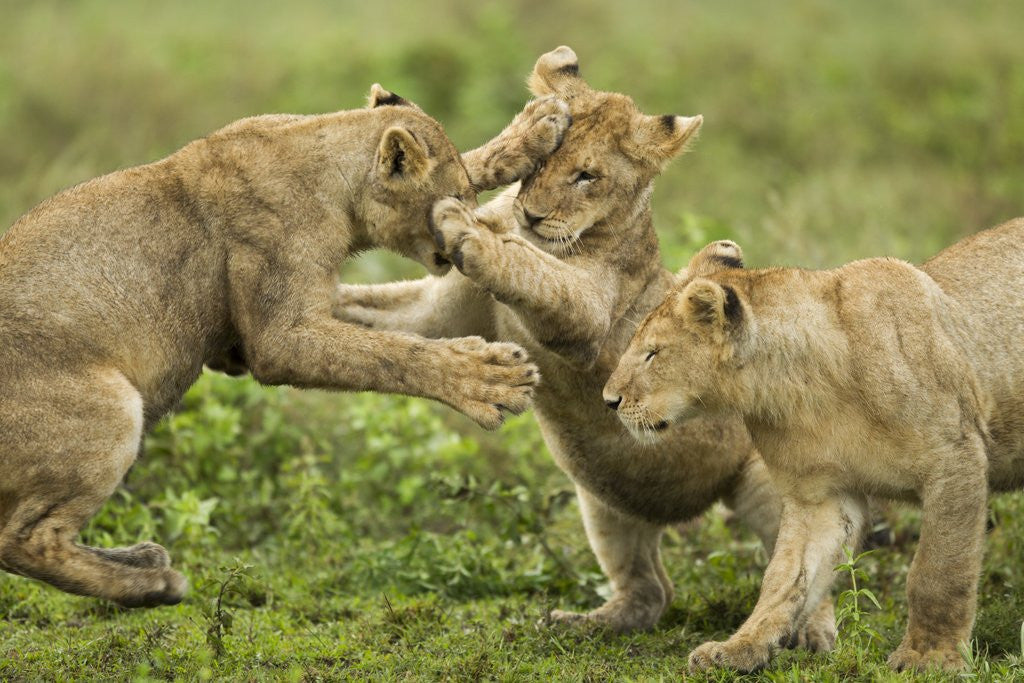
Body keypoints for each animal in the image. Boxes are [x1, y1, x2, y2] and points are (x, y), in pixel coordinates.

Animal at [0, 86, 571, 606]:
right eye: (457, 200)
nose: (476, 228)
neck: (329, 173)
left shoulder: (252, 334)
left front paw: (537, 127)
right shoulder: (277, 337)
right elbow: (389, 354)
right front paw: (489, 377)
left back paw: (137, 559)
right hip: (112, 410)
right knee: (24, 541)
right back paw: (151, 584)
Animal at [331, 46, 836, 647]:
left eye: (586, 176)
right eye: (543, 163)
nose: (531, 214)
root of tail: (688, 510)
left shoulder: (591, 313)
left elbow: (530, 269)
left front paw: (467, 227)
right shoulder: (442, 312)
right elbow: (384, 310)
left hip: (772, 486)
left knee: (811, 571)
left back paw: (809, 636)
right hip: (605, 503)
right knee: (652, 592)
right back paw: (580, 624)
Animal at [606, 218, 1024, 672]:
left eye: (653, 353)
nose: (609, 400)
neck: (805, 387)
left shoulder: (955, 460)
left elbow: (938, 572)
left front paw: (929, 657)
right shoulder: (818, 496)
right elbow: (786, 578)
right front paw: (738, 650)